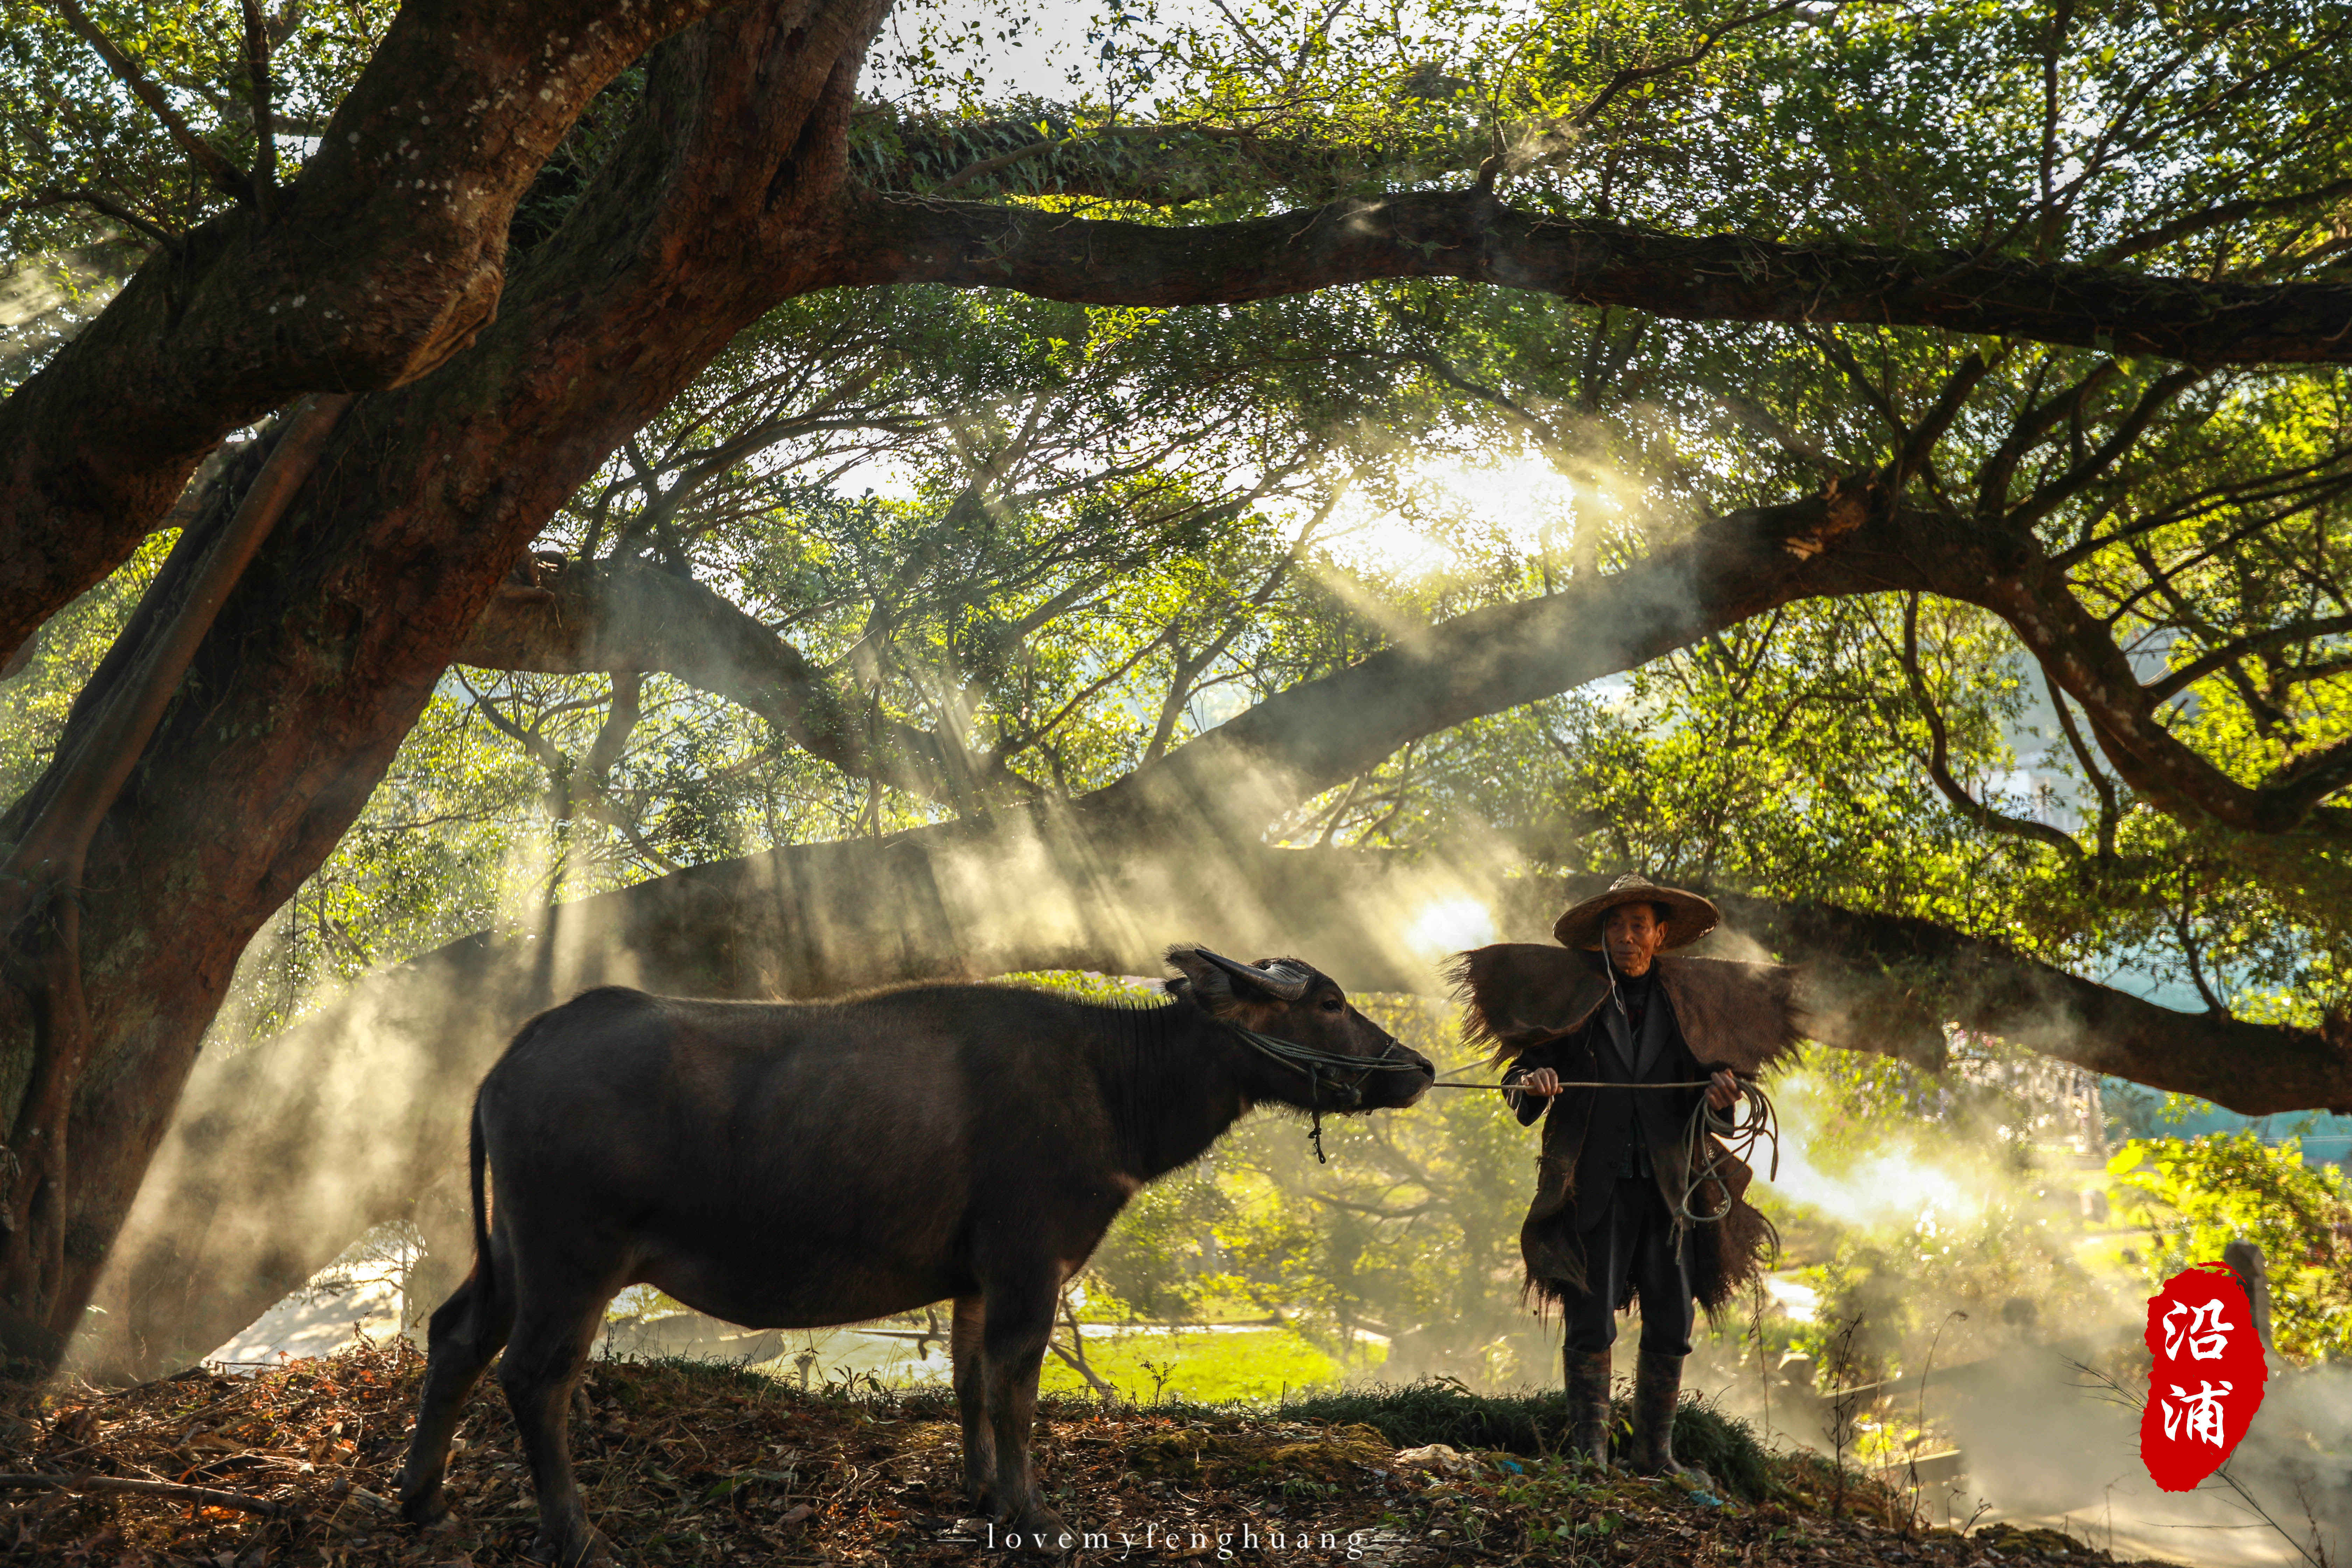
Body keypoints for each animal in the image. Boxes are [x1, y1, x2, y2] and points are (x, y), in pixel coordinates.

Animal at [390, 950, 1430, 1561]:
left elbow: (969, 1385)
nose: (1416, 1066)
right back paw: (573, 1534)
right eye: (1329, 1001)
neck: (1110, 1079)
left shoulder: (973, 1278)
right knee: (535, 1375)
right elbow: (1015, 1392)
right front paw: (1034, 1513)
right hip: (573, 1260)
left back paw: (421, 1501)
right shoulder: (1030, 1264)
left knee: (457, 1337)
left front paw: (983, 1493)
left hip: (510, 1256)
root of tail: (518, 1052)